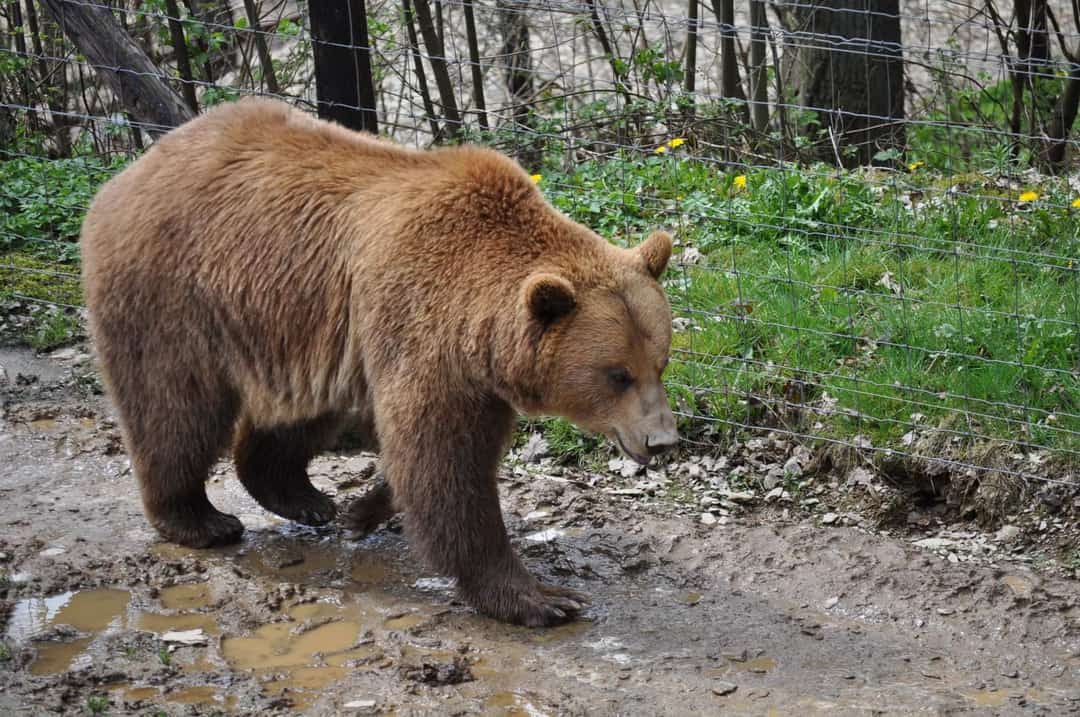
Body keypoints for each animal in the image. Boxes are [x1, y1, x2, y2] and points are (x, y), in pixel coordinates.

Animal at [82, 96, 673, 626]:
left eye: (661, 363)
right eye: (617, 374)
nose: (662, 440)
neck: (481, 326)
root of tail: (129, 172)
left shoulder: (467, 373)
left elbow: (431, 457)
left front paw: (361, 512)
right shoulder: (424, 330)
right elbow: (442, 463)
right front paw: (539, 597)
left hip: (296, 327)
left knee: (296, 414)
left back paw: (303, 498)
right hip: (173, 292)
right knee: (174, 407)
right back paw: (199, 519)